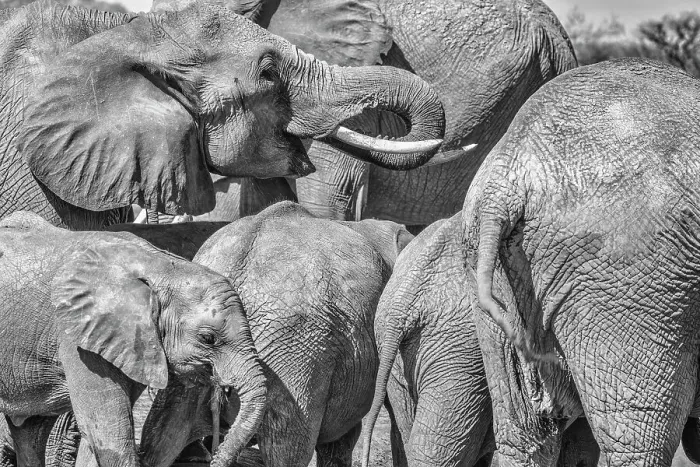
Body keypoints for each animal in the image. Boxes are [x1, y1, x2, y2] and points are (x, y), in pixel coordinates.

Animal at [0, 211, 266, 466]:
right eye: (208, 338)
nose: (213, 456)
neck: (162, 266)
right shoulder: (76, 338)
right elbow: (109, 436)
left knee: (29, 433)